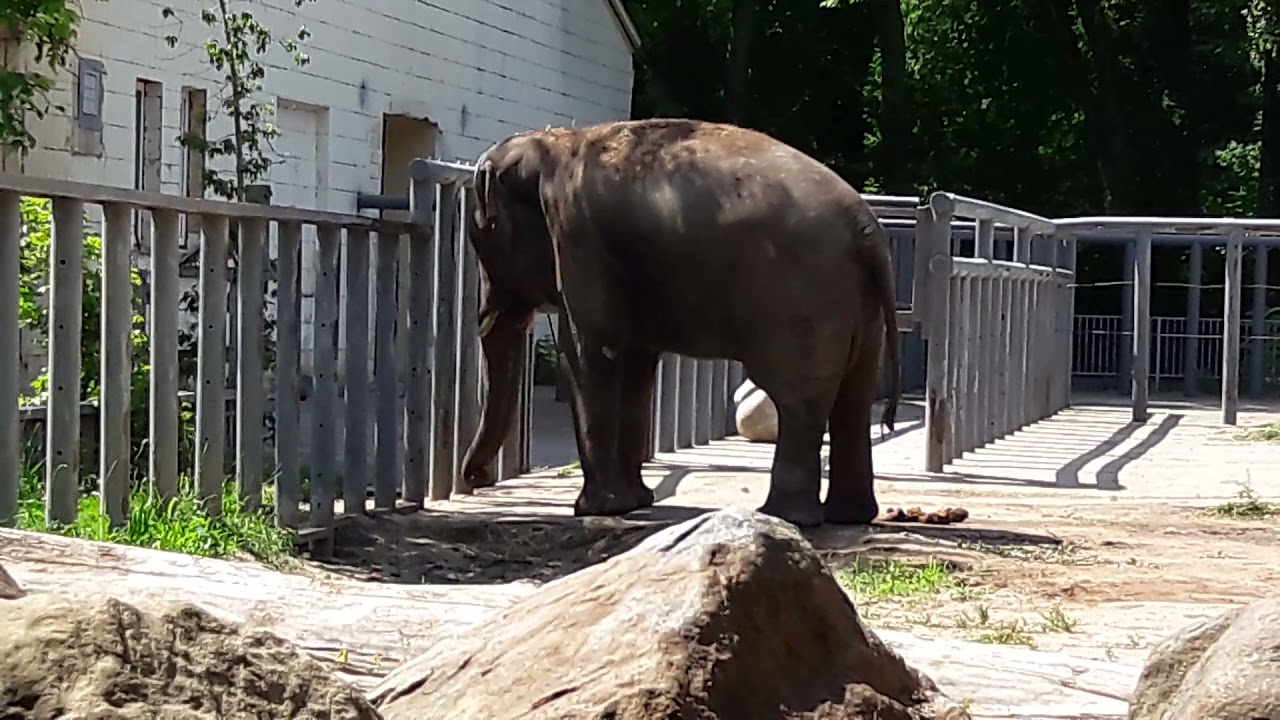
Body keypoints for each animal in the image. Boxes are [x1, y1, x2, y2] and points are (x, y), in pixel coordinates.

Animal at [456, 118, 901, 529]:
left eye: (484, 240)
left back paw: (783, 516)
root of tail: (866, 228)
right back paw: (848, 516)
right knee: (853, 398)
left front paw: (596, 510)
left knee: (799, 401)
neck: (551, 145)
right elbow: (635, 364)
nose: (474, 479)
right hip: (860, 308)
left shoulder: (579, 240)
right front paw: (635, 502)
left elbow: (589, 353)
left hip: (803, 300)